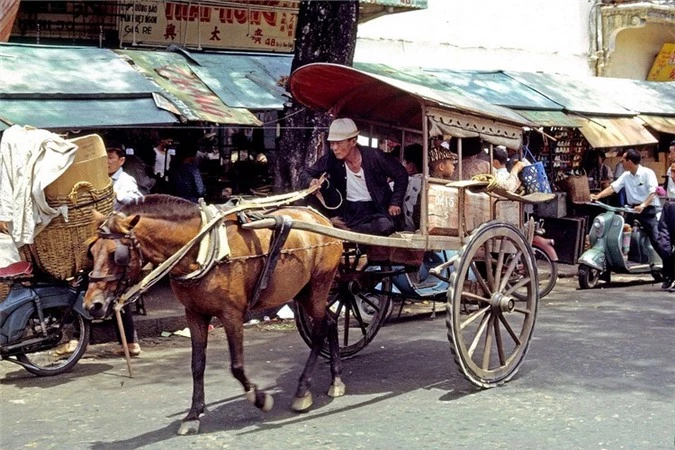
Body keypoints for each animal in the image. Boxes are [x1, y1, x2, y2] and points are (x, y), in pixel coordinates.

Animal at [84, 195, 346, 434]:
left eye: (116, 255)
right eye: (92, 251)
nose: (92, 305)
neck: (200, 249)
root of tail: (323, 219)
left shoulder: (232, 315)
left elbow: (237, 365)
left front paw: (259, 398)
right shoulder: (194, 314)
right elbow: (197, 365)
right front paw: (193, 415)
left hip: (319, 285)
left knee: (322, 326)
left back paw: (304, 390)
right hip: (302, 291)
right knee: (331, 321)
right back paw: (336, 379)